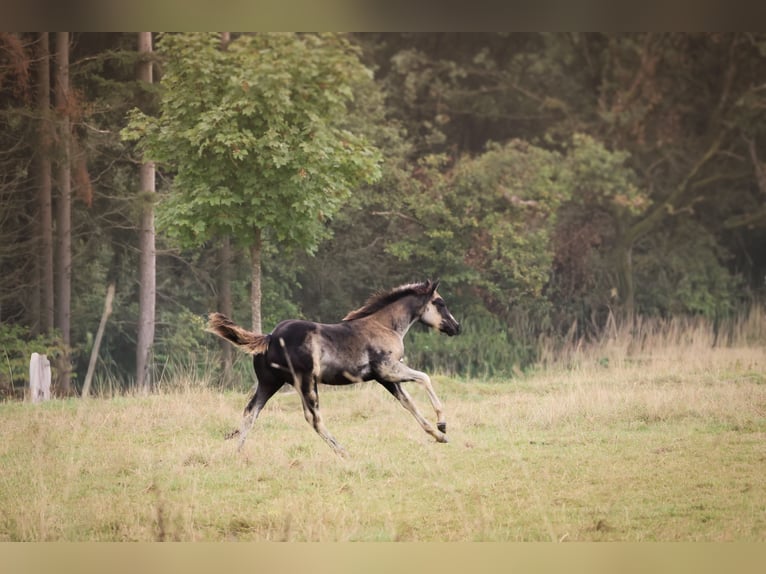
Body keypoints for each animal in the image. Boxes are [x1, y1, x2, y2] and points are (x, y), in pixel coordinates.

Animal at [207, 279, 460, 456]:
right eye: (440, 303)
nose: (456, 327)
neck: (384, 326)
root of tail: (269, 338)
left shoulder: (385, 378)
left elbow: (409, 404)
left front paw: (438, 436)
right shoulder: (388, 369)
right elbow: (424, 378)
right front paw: (442, 424)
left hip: (270, 383)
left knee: (251, 412)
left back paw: (238, 452)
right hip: (305, 382)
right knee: (313, 418)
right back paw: (343, 451)